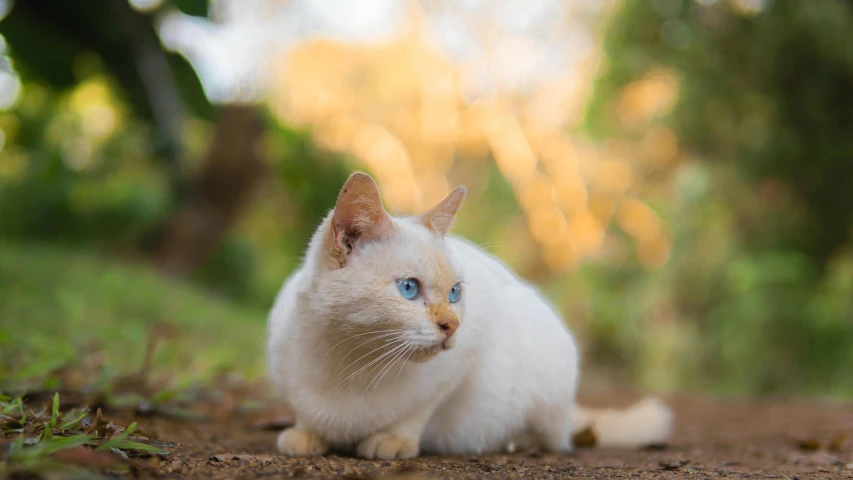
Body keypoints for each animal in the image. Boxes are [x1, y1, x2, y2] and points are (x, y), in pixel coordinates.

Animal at [266, 173, 672, 462]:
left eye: (455, 293)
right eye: (409, 288)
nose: (453, 326)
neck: (350, 361)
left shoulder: (464, 357)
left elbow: (417, 411)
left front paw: (393, 438)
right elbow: (305, 412)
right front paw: (307, 433)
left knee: (554, 437)